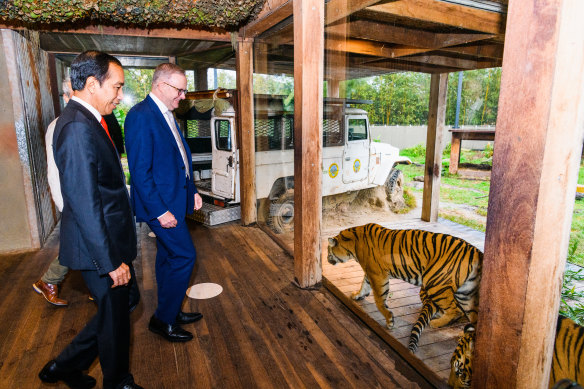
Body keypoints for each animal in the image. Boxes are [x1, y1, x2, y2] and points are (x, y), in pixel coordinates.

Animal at [326, 221, 482, 352]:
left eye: (328, 251)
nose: (327, 259)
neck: (353, 245)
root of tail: (474, 251)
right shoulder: (370, 273)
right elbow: (364, 284)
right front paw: (357, 295)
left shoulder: (378, 275)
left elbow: (379, 300)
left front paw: (389, 320)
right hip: (465, 293)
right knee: (471, 315)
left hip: (435, 283)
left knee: (455, 310)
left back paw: (436, 323)